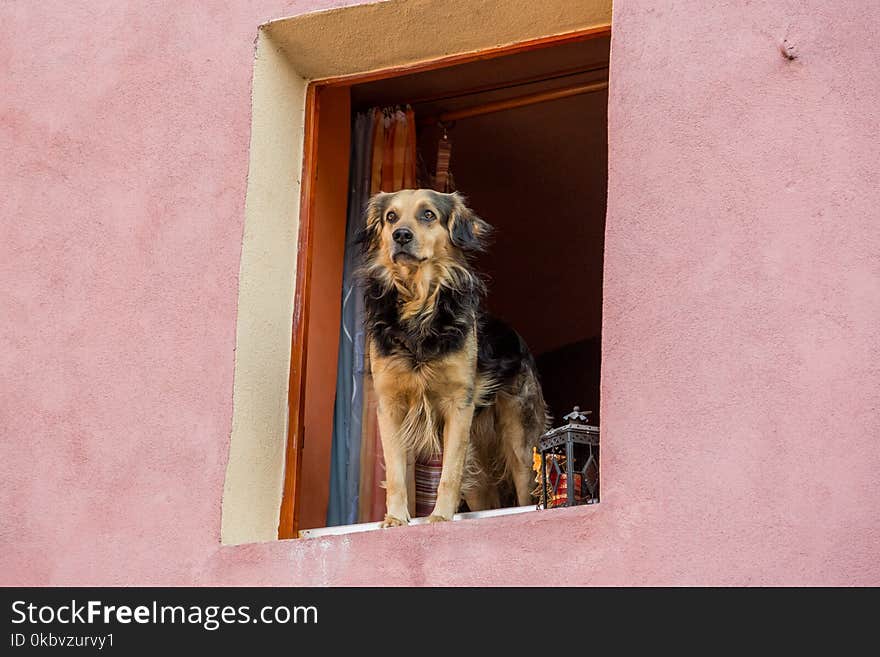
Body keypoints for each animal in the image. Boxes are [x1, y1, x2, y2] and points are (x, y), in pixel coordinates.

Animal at [358, 190, 552, 528]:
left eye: (428, 215)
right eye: (391, 217)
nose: (400, 235)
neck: (418, 305)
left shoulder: (458, 405)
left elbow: (448, 474)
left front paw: (440, 517)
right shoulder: (390, 404)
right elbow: (396, 474)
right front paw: (395, 519)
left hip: (520, 444)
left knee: (524, 491)